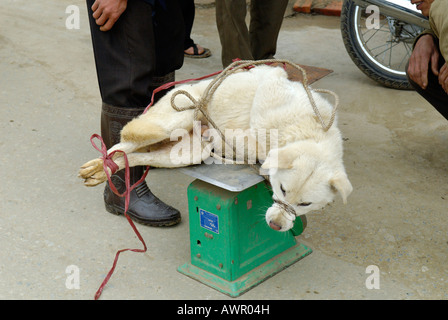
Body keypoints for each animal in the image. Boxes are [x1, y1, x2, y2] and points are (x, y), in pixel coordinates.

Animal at [81, 64, 354, 230]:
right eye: (283, 190)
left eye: (306, 204)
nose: (276, 225)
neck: (308, 130)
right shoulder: (269, 84)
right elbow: (252, 143)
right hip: (172, 121)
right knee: (120, 144)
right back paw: (98, 165)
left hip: (186, 153)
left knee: (135, 157)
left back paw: (103, 171)